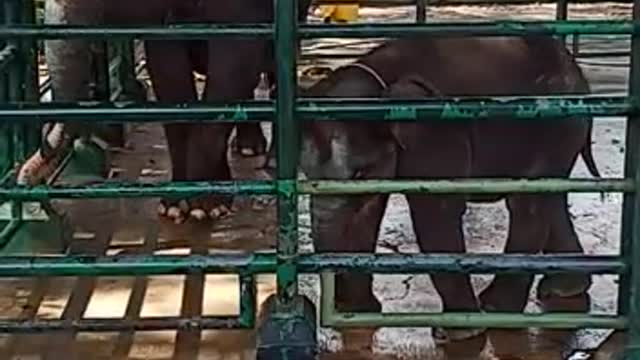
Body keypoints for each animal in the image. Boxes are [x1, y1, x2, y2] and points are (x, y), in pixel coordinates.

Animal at [44, 0, 312, 222]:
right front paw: (175, 205)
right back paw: (247, 147)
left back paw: (269, 158)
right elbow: (170, 76)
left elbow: (233, 65)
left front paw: (205, 206)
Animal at [300, 35, 600, 344]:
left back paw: (495, 307)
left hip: (556, 123)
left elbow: (437, 211)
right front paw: (360, 312)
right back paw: (563, 289)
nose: (334, 307)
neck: (380, 79)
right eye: (306, 173)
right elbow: (368, 212)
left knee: (527, 204)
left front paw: (457, 332)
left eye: (358, 173)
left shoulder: (438, 132)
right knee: (551, 199)